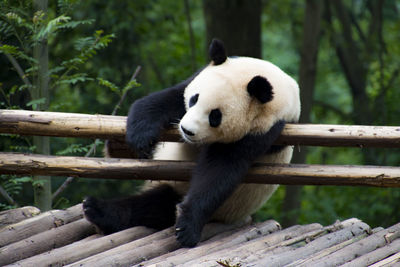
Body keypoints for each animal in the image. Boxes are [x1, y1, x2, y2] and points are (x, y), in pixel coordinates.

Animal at [83, 39, 300, 249]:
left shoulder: (264, 130)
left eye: (215, 116)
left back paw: (100, 212)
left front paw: (187, 228)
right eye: (195, 99)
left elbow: (220, 170)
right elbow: (168, 98)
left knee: (155, 206)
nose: (186, 130)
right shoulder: (197, 78)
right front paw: (141, 138)